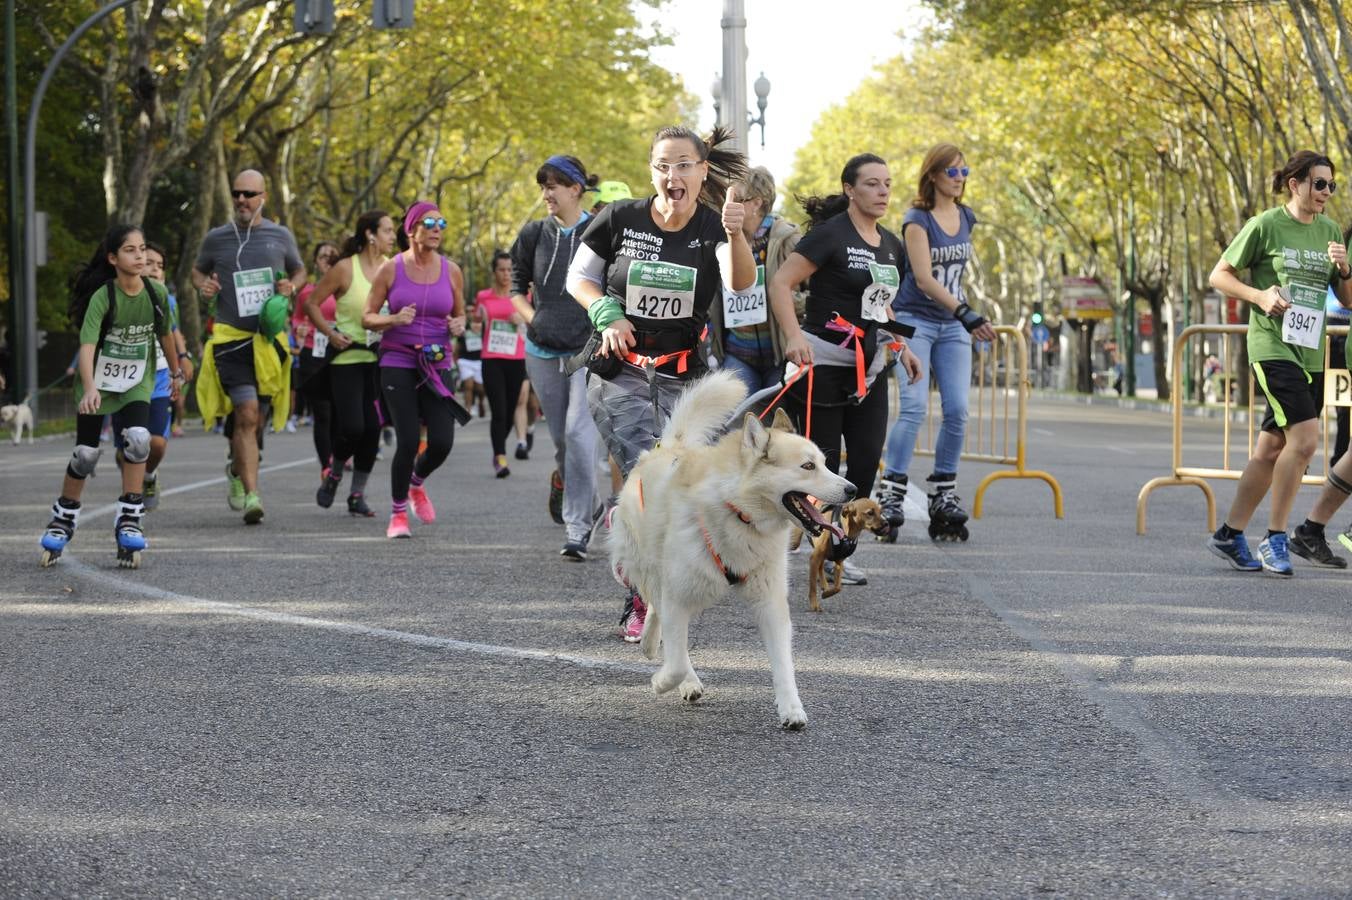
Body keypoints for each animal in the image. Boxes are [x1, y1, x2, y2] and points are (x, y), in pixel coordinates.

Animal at [611, 367, 854, 724]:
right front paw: (664, 682)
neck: (740, 513)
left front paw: (791, 709)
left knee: (658, 609)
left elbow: (784, 663)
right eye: (808, 466)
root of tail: (664, 446)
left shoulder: (770, 602)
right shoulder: (679, 596)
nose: (853, 489)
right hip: (651, 566)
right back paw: (657, 652)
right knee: (654, 602)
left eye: (824, 463)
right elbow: (678, 660)